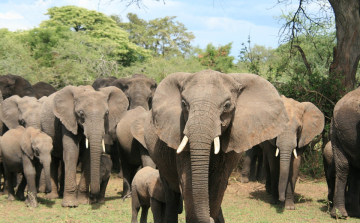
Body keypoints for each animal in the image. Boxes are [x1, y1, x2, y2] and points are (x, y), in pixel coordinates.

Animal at [142, 70, 288, 223]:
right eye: (183, 103)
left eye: (227, 105)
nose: (211, 219)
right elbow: (188, 184)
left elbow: (218, 184)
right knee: (171, 194)